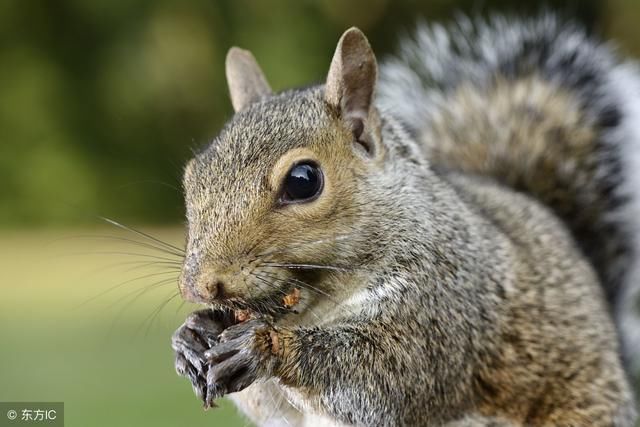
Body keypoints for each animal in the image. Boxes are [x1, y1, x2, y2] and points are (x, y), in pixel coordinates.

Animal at [169, 15, 640, 426]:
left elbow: (389, 377)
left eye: (304, 180)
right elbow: (270, 404)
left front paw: (263, 345)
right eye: (192, 175)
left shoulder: (446, 304)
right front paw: (193, 336)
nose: (202, 286)